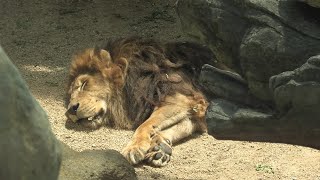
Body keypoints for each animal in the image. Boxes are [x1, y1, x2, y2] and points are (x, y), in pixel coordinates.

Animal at [64, 37, 215, 167]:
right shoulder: (194, 108)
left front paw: (134, 148)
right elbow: (181, 125)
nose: (70, 110)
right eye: (71, 95)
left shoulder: (180, 98)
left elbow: (145, 125)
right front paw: (160, 147)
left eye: (84, 84)